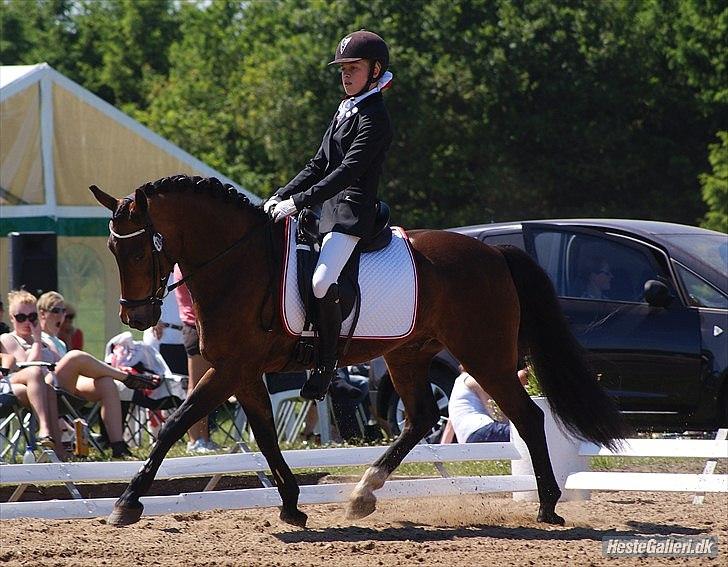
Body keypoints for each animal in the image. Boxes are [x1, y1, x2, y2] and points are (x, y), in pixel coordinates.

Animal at [90, 175, 629, 528]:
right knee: (419, 417)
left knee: (527, 417)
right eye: (113, 251)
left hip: (484, 355)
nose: (135, 318)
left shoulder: (228, 369)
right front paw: (291, 504)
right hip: (408, 354)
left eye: (138, 249)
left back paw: (547, 506)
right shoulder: (241, 372)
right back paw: (363, 493)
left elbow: (175, 426)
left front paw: (127, 503)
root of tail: (495, 253)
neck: (238, 263)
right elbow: (264, 435)